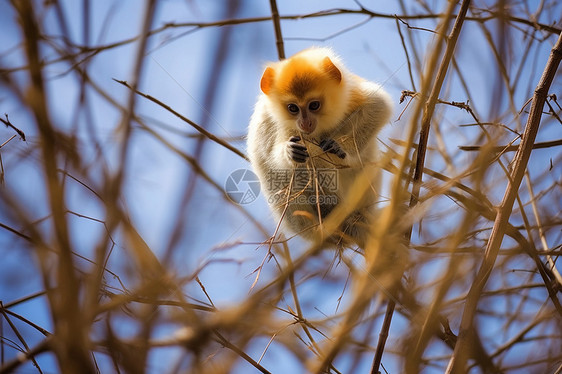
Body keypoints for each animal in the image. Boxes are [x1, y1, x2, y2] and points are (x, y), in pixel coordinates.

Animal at [247, 47, 392, 248]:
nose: (305, 123)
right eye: (293, 108)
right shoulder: (270, 118)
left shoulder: (350, 91)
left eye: (314, 105)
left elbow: (379, 106)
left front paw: (339, 148)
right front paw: (289, 152)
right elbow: (273, 160)